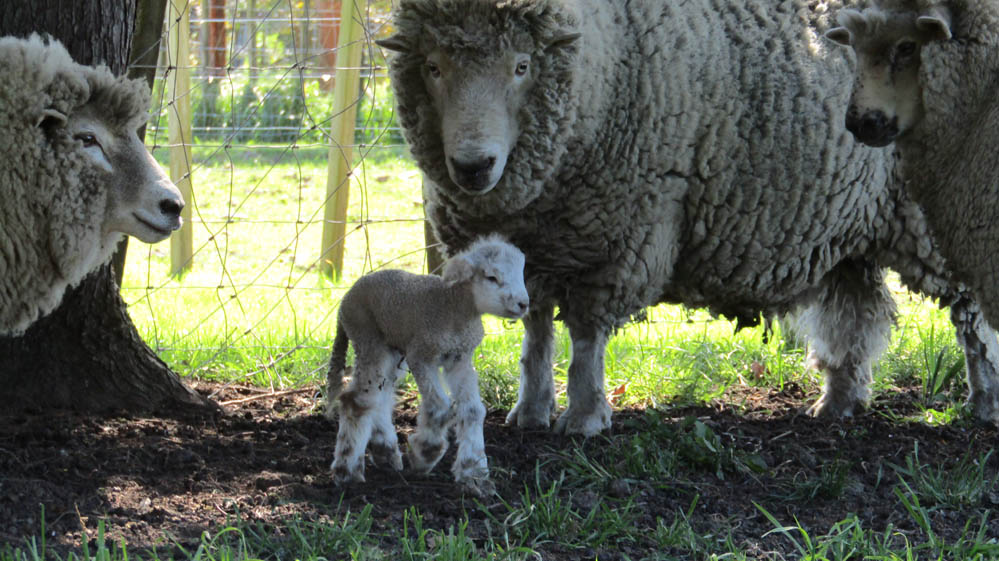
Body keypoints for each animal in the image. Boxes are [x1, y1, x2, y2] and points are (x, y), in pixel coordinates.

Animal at [326, 234, 532, 496]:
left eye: (521, 273)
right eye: (491, 277)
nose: (523, 304)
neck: (454, 308)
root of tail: (345, 300)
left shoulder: (459, 358)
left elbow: (473, 411)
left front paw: (474, 475)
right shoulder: (422, 354)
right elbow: (441, 406)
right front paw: (424, 454)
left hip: (393, 349)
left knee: (381, 396)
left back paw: (385, 453)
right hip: (368, 337)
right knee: (357, 400)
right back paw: (348, 471)